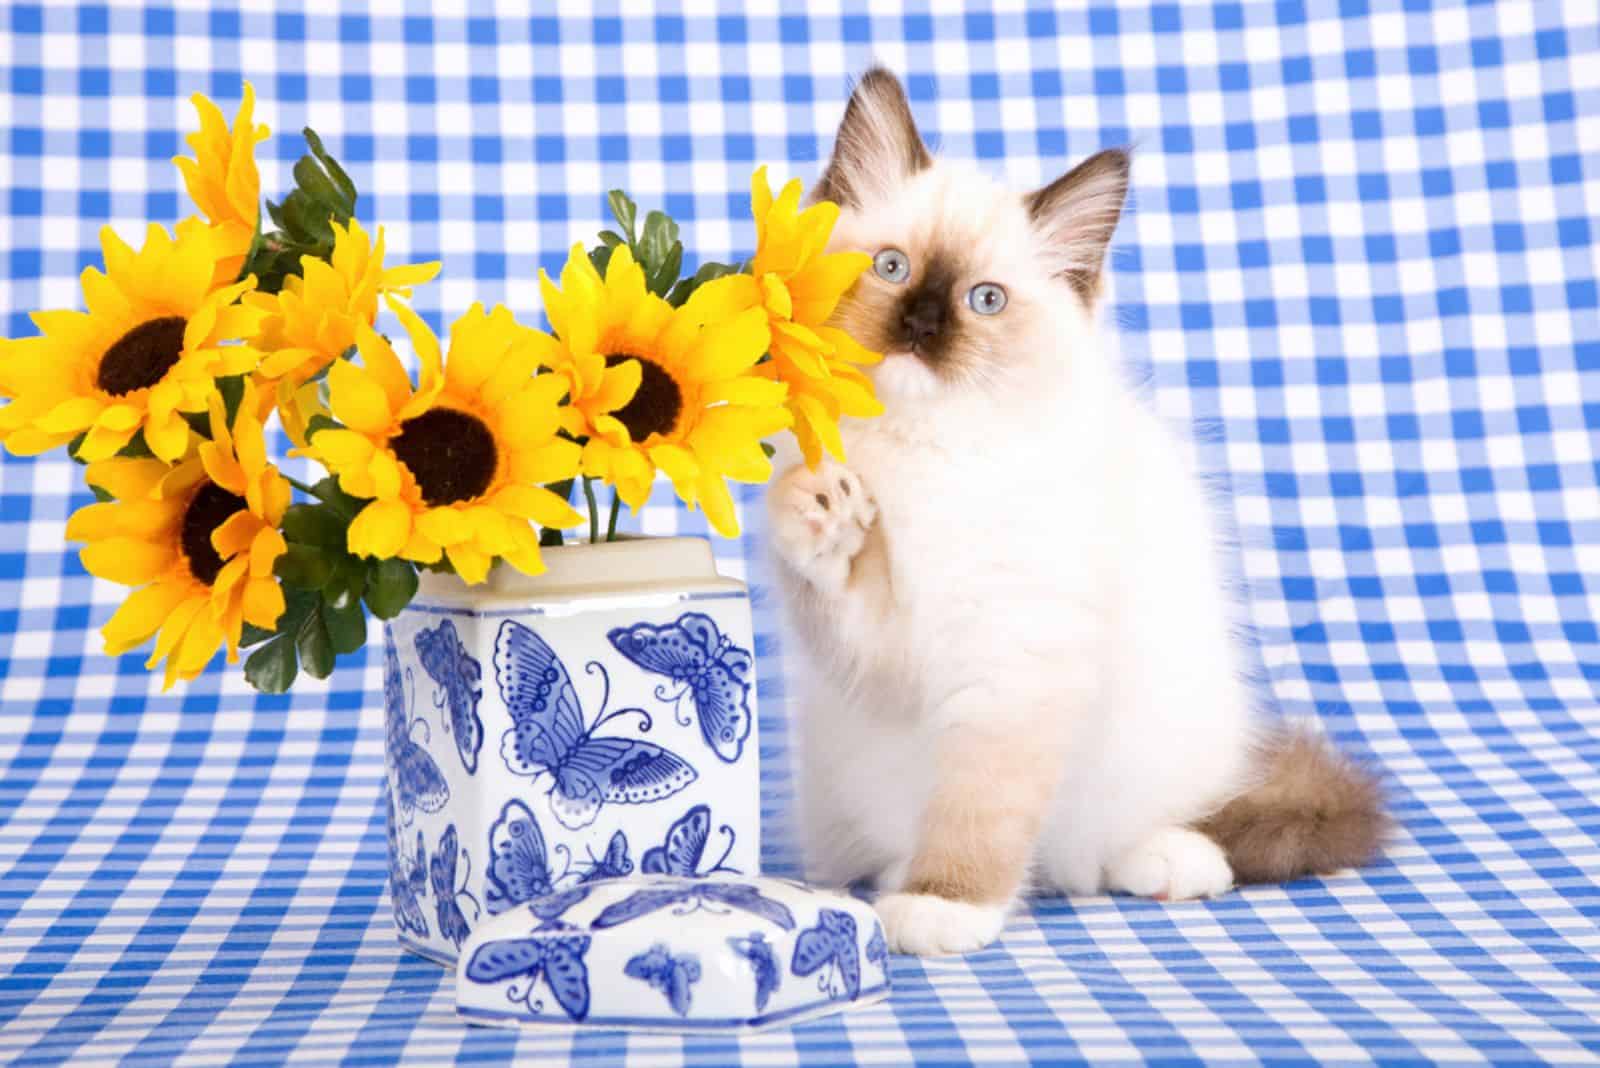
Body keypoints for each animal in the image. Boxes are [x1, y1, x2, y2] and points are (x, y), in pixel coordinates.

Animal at [764, 75, 1388, 959]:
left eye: (984, 300)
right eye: (892, 268)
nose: (921, 328)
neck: (927, 453)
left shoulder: (1011, 669)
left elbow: (979, 812)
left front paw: (947, 908)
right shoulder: (874, 657)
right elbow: (836, 577)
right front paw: (824, 512)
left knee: (1102, 851)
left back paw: (1165, 863)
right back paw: (901, 873)